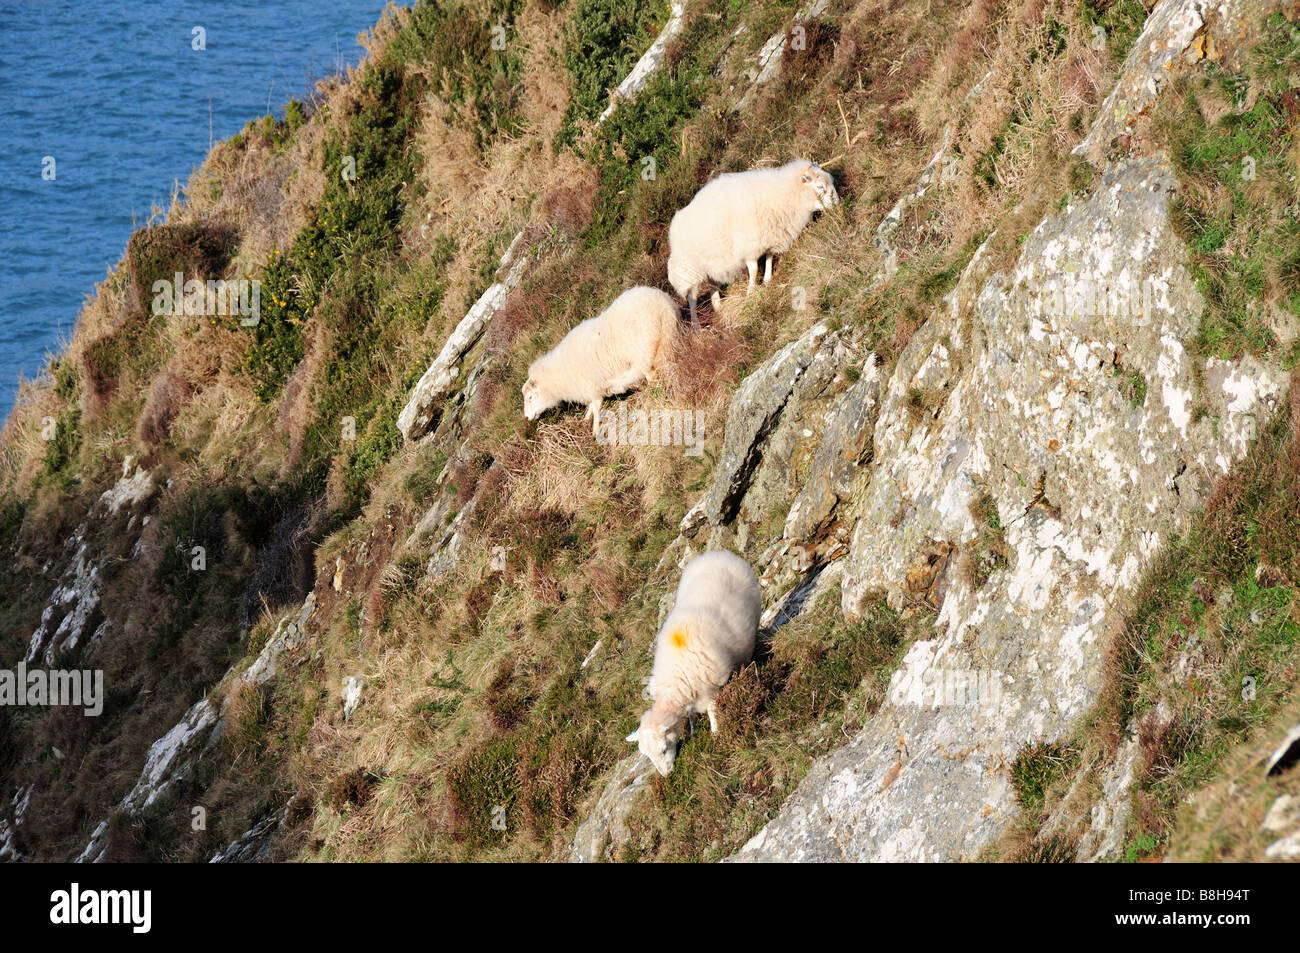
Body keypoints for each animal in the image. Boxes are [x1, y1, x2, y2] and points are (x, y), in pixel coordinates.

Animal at [522, 286, 679, 437]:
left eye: (530, 397)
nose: (527, 418)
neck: (559, 375)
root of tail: (659, 300)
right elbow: (592, 405)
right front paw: (586, 419)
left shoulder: (591, 386)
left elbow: (596, 406)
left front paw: (595, 430)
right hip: (667, 339)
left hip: (644, 353)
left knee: (653, 377)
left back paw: (654, 395)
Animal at [625, 550, 761, 775]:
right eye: (648, 756)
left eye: (663, 749)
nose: (666, 775)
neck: (675, 678)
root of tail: (718, 553)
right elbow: (690, 714)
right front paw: (692, 730)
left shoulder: (710, 686)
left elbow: (713, 710)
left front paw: (716, 734)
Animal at [667, 158, 839, 326]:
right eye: (820, 187)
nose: (837, 204)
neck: (783, 195)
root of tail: (675, 222)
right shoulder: (750, 246)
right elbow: (755, 270)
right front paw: (751, 292)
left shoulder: (770, 238)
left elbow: (769, 258)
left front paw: (768, 280)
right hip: (689, 271)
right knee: (692, 298)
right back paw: (695, 324)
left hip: (710, 263)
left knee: (712, 283)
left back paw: (718, 306)